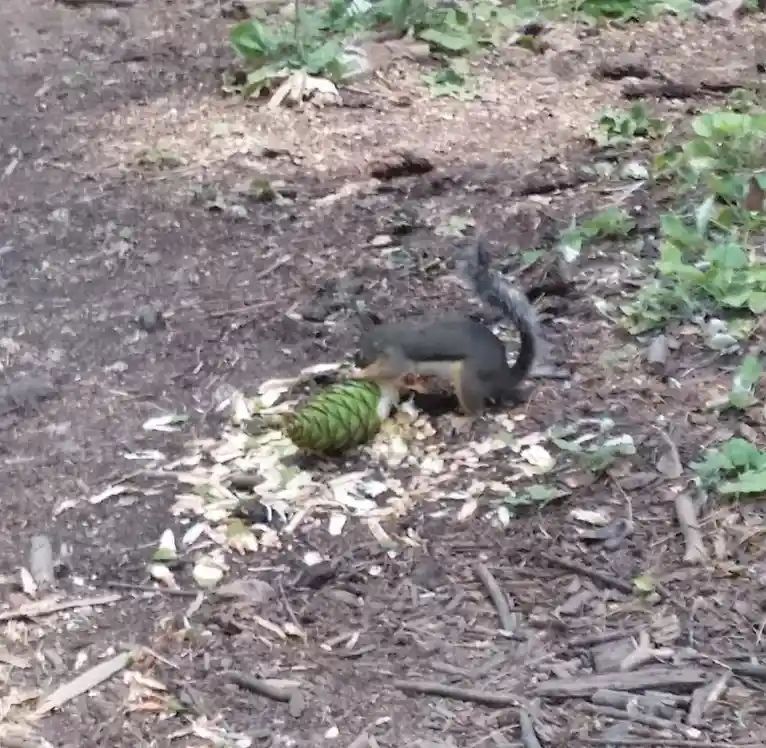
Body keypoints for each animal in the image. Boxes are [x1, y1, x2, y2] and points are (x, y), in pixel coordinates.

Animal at [349, 241, 540, 415]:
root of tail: (504, 376)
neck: (384, 338)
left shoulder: (397, 356)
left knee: (477, 411)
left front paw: (358, 374)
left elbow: (391, 369)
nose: (357, 364)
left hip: (468, 377)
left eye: (360, 353)